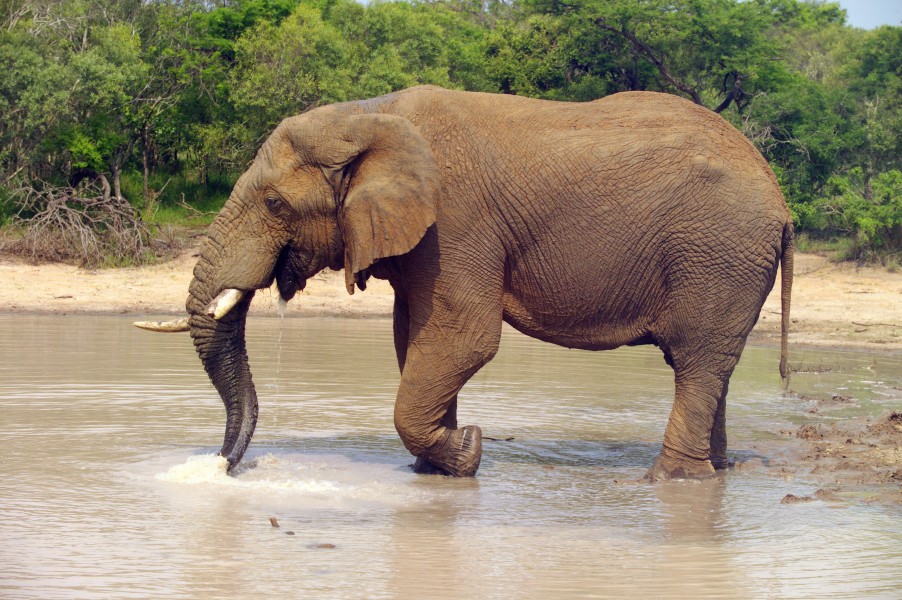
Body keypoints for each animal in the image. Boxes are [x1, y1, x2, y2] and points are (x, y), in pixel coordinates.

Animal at [138, 85, 793, 481]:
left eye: (274, 203)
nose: (223, 466)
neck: (368, 115)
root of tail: (780, 198)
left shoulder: (455, 222)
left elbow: (465, 338)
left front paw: (469, 450)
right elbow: (415, 338)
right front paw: (441, 469)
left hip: (718, 255)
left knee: (696, 362)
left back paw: (671, 480)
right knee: (708, 368)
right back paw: (715, 474)